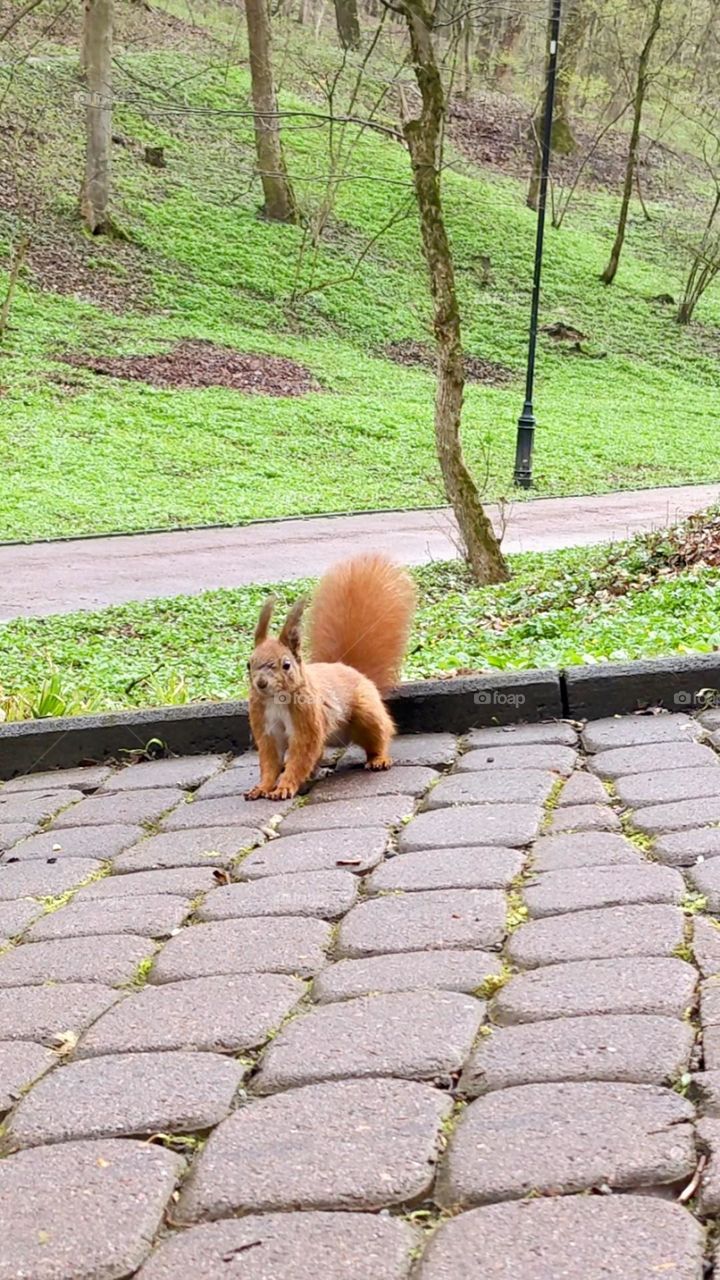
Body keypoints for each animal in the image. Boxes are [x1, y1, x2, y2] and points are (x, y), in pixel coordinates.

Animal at [244, 553, 417, 801]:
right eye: (247, 664)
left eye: (286, 665)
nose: (261, 683)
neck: (276, 700)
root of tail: (346, 667)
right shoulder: (265, 726)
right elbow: (270, 761)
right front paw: (262, 787)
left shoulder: (307, 720)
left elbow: (301, 754)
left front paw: (284, 787)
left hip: (366, 713)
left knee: (379, 735)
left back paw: (379, 759)